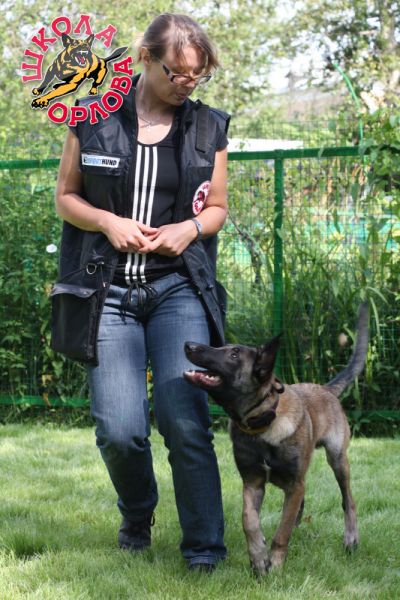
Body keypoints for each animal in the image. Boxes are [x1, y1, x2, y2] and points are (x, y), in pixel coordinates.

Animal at [184, 302, 369, 575]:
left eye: (234, 354)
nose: (188, 344)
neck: (261, 423)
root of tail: (325, 389)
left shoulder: (294, 483)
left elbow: (282, 531)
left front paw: (276, 564)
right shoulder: (253, 483)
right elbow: (249, 520)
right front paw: (259, 557)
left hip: (338, 460)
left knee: (349, 501)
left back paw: (351, 539)